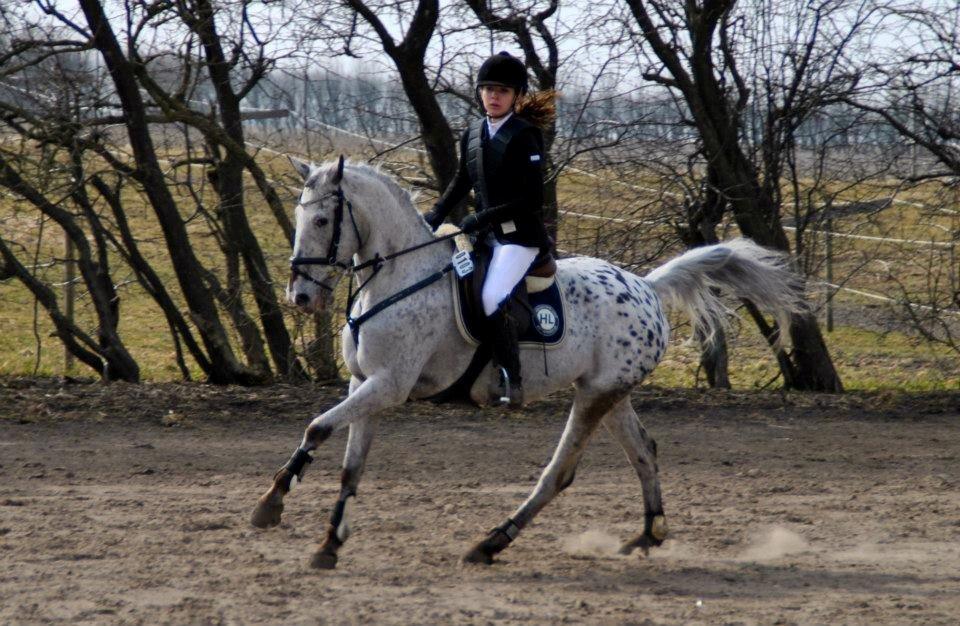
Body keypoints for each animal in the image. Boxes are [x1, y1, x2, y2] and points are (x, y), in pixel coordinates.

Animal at [250, 156, 806, 569]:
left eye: (322, 220)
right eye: (299, 219)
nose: (301, 296)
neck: (397, 279)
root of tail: (647, 286)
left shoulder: (389, 385)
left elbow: (318, 427)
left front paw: (271, 504)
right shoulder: (363, 384)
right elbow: (351, 467)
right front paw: (328, 544)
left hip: (594, 396)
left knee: (559, 473)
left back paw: (491, 541)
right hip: (609, 392)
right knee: (644, 453)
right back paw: (648, 535)